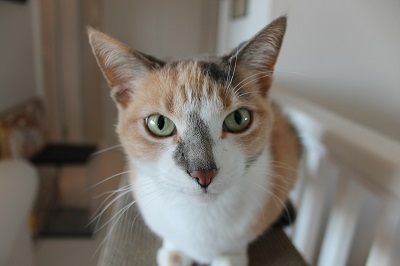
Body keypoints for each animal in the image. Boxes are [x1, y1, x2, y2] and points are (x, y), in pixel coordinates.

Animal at [88, 16, 300, 266]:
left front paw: (232, 254)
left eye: (238, 119)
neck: (202, 215)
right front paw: (174, 252)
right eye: (159, 123)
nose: (204, 173)